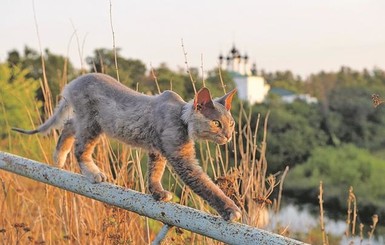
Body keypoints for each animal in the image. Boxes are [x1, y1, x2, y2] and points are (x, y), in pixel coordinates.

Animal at [13, 73, 242, 221]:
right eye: (216, 123)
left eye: (231, 123)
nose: (229, 135)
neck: (181, 117)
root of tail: (74, 82)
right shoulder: (181, 158)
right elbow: (206, 185)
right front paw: (230, 209)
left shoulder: (157, 151)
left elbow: (155, 173)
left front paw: (157, 192)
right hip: (92, 124)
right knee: (80, 148)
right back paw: (93, 172)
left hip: (85, 121)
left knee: (68, 126)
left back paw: (59, 157)